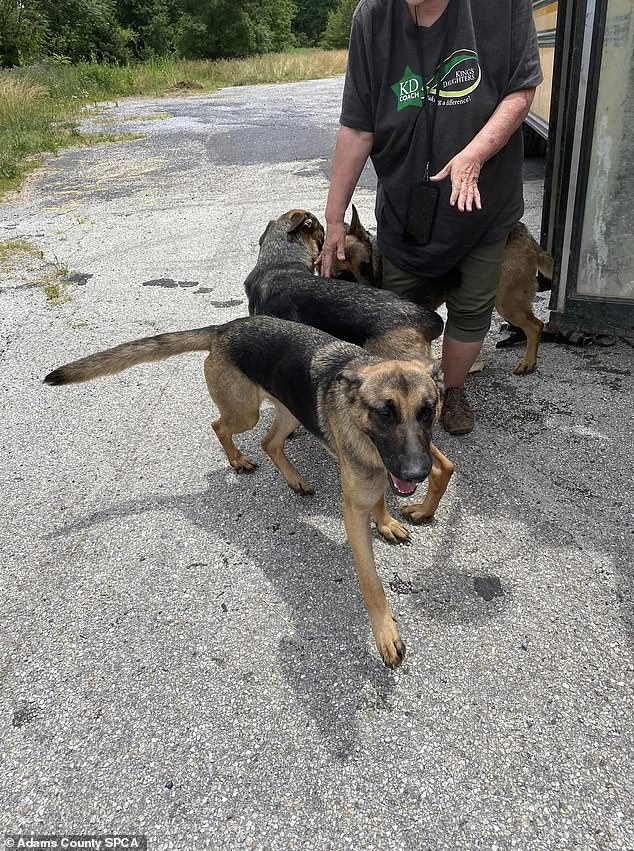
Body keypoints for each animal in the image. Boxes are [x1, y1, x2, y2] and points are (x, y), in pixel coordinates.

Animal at [334, 208, 552, 374]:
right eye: (344, 277)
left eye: (366, 266)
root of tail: (523, 231)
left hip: (506, 301)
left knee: (536, 326)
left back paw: (528, 361)